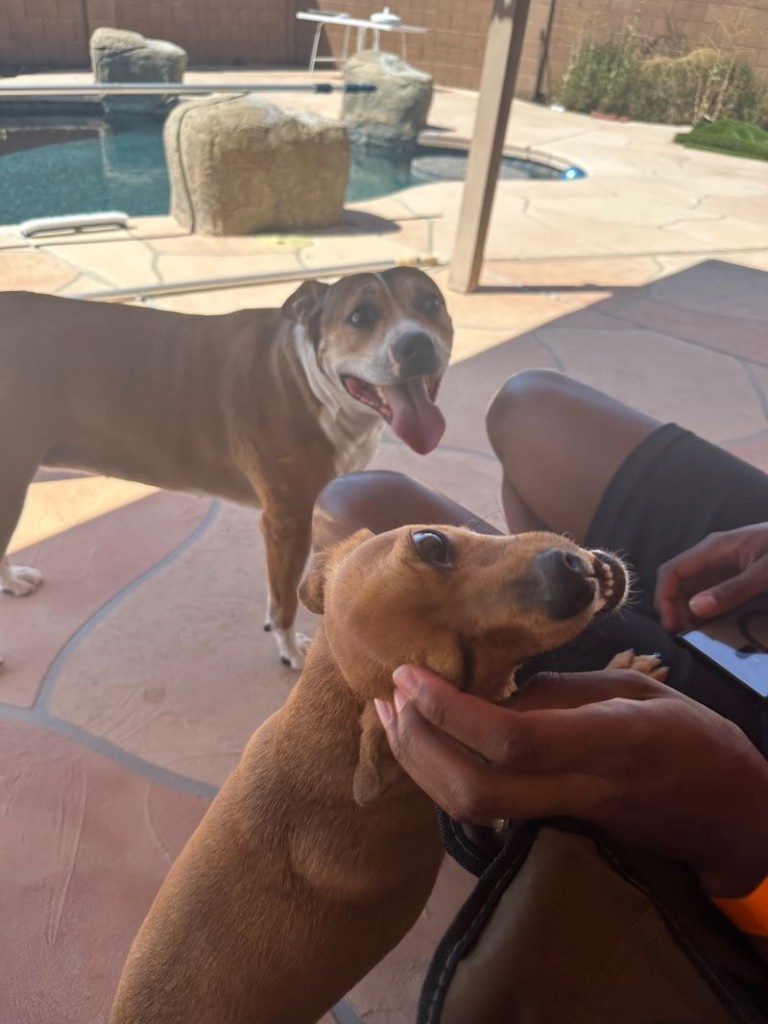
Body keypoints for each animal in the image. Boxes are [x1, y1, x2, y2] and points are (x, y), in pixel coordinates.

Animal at [0, 267, 452, 671]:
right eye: (360, 317)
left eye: (431, 303)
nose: (415, 345)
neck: (310, 380)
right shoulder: (287, 521)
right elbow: (285, 598)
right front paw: (291, 649)